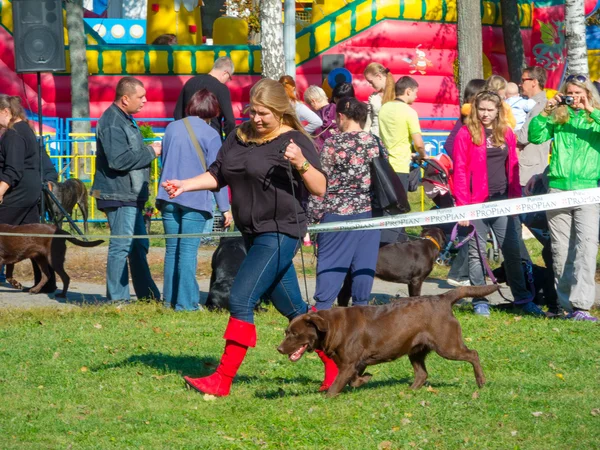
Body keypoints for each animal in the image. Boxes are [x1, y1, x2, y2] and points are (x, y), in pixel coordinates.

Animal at [278, 286, 500, 396]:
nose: (278, 348)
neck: (332, 328)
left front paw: (328, 398)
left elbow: (337, 385)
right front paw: (365, 379)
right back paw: (409, 391)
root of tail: (443, 298)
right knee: (422, 373)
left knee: (473, 354)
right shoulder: (355, 364)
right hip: (416, 349)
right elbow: (353, 379)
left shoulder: (349, 364)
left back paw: (481, 381)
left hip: (447, 345)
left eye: (295, 334)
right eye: (286, 332)